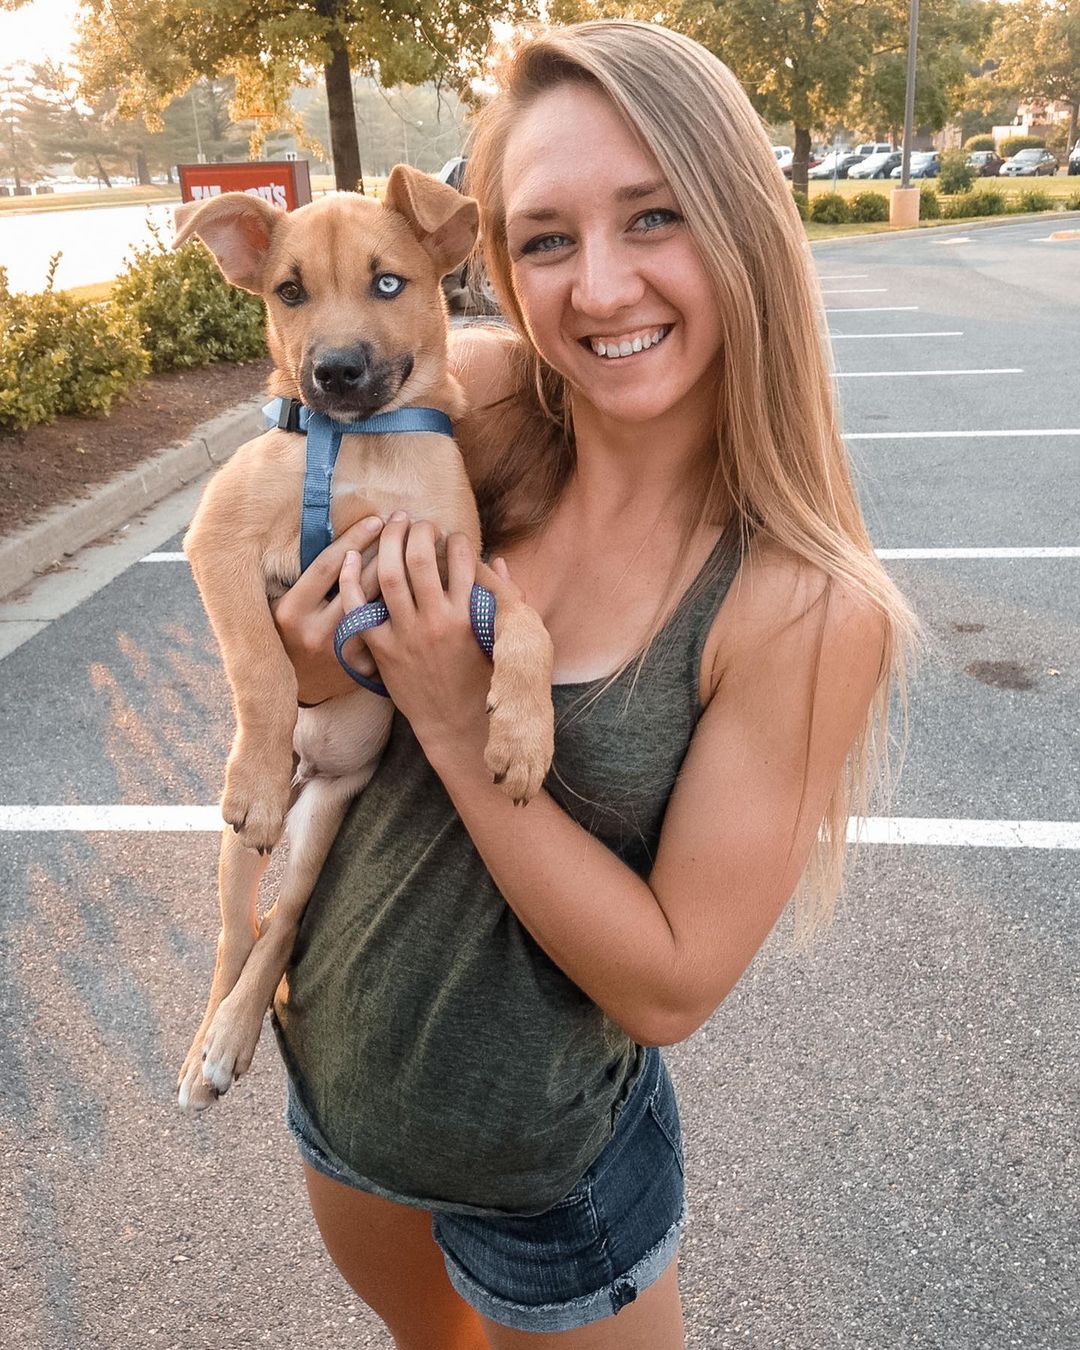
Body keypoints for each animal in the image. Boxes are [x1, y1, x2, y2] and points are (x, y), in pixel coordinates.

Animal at [174, 168, 556, 1112]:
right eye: (288, 292)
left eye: (389, 283)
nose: (335, 371)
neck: (362, 445)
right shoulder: (217, 543)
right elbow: (263, 665)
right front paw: (258, 762)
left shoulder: (459, 567)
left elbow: (528, 625)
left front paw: (523, 737)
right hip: (238, 848)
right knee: (237, 931)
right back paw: (210, 1047)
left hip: (326, 815)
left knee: (284, 919)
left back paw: (233, 1034)